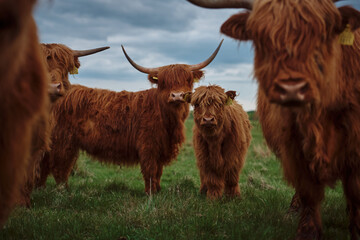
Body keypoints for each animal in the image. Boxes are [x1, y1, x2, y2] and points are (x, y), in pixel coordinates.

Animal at [41, 40, 222, 195]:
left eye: (188, 79)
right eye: (163, 82)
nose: (177, 95)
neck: (168, 119)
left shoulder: (162, 148)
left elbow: (158, 171)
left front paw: (157, 191)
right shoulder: (148, 146)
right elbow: (150, 170)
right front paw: (151, 194)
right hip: (63, 141)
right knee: (59, 168)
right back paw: (63, 191)